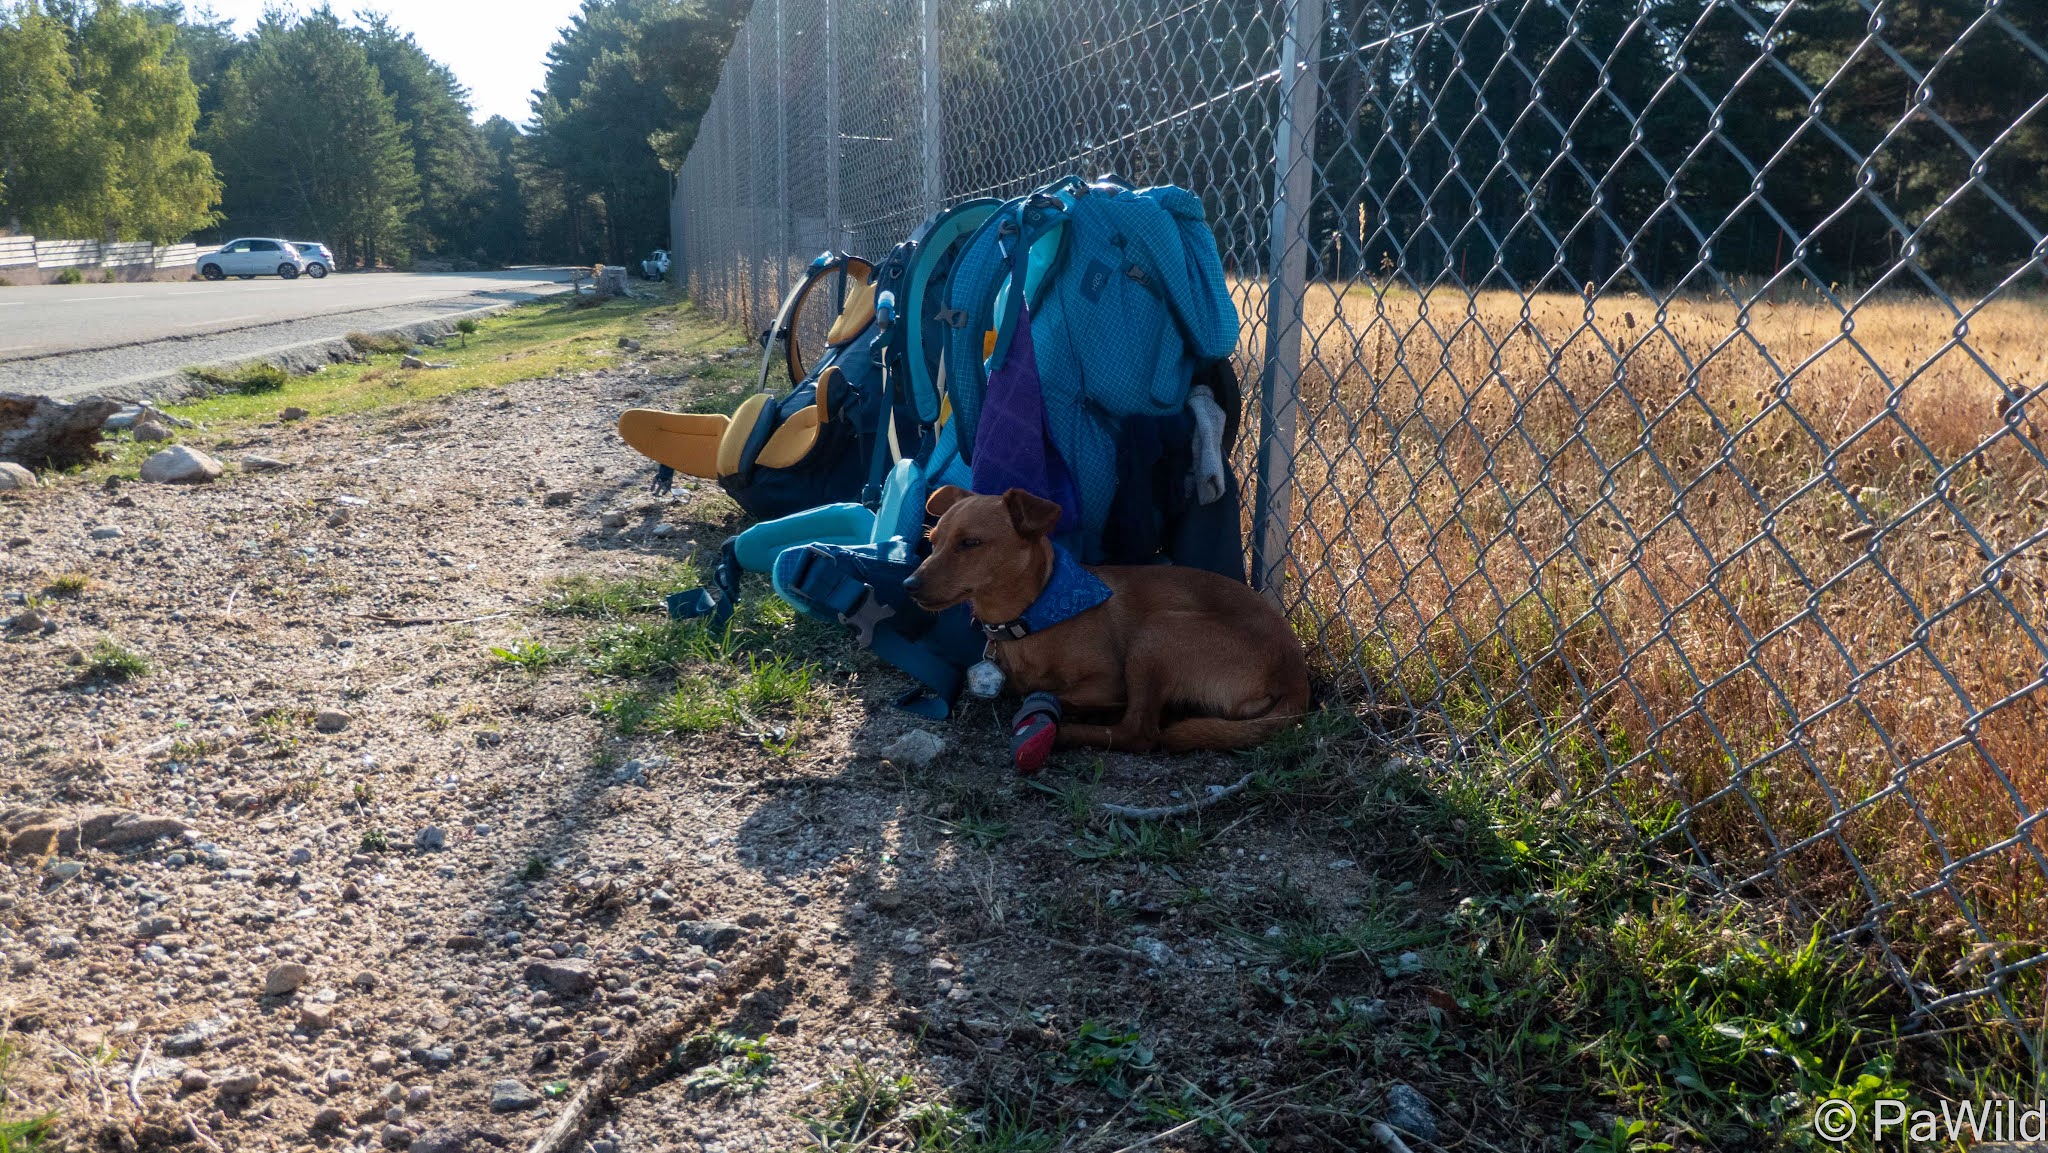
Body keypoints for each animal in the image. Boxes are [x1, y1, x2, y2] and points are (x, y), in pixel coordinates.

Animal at [909, 487, 1310, 774]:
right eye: (932, 541)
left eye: (970, 543)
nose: (908, 585)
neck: (1035, 614)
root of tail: (1296, 675)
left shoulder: (1110, 681)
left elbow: (1038, 692)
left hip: (1157, 631)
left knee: (1140, 733)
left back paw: (1068, 733)